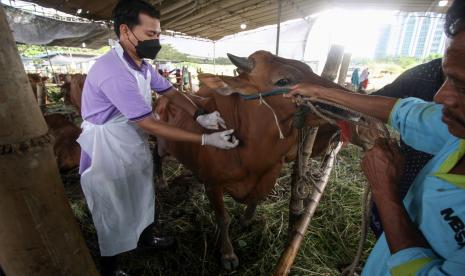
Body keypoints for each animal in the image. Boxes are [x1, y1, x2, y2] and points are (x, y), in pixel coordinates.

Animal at [154, 50, 364, 270]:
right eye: (283, 80)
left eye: (309, 69)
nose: (351, 101)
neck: (251, 155)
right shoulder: (213, 184)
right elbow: (223, 219)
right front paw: (228, 254)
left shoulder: (271, 171)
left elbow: (256, 198)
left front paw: (246, 220)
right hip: (160, 141)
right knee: (155, 157)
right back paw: (161, 181)